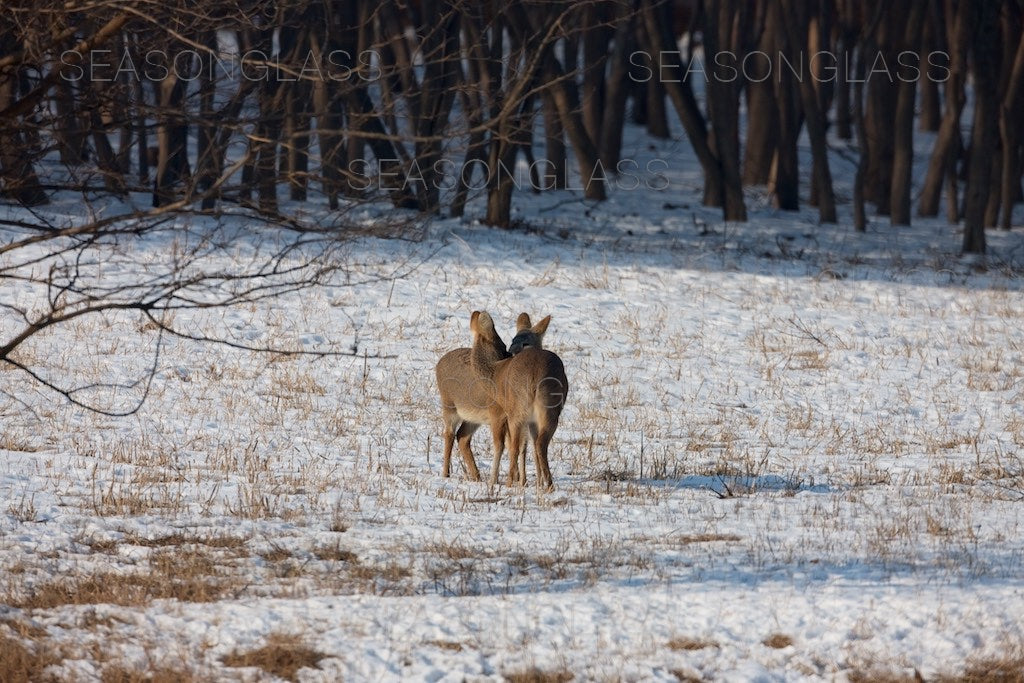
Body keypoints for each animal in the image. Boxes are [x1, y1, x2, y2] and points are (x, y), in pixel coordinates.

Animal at [438, 309, 557, 481]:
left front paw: (521, 479)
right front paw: (513, 479)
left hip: (474, 417)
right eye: (506, 343)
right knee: (449, 434)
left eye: (526, 343)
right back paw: (446, 473)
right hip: (449, 406)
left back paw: (476, 476)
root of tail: (439, 363)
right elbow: (509, 445)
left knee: (462, 437)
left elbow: (521, 445)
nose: (510, 353)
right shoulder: (500, 415)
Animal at [468, 309, 569, 491]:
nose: (511, 352)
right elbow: (528, 446)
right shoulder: (532, 420)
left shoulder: (501, 414)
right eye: (511, 341)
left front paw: (496, 481)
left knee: (515, 446)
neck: (494, 374)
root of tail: (535, 375)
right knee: (539, 444)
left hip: (517, 411)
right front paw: (534, 482)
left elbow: (506, 445)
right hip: (548, 410)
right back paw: (548, 485)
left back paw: (510, 482)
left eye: (526, 343)